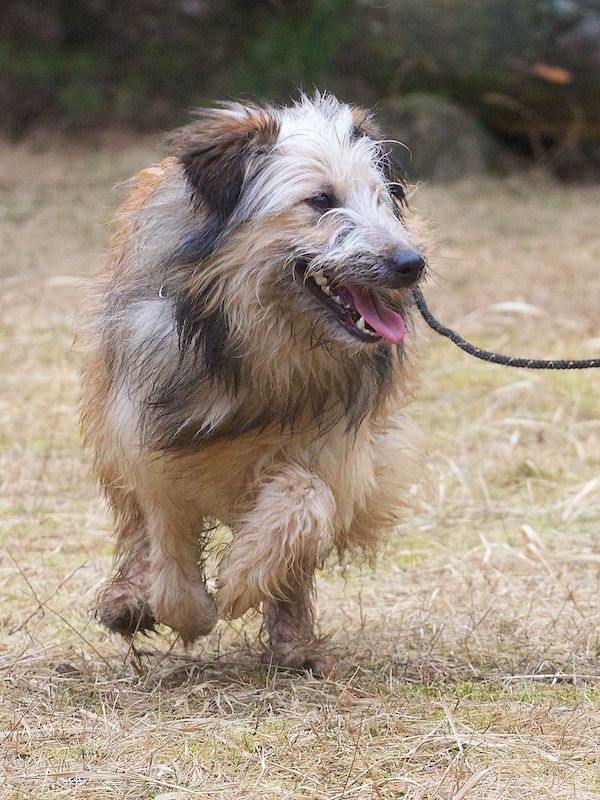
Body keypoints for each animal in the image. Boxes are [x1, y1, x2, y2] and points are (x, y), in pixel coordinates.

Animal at [79, 93, 425, 673]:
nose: (411, 263)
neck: (263, 342)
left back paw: (295, 642)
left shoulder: (332, 448)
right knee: (134, 527)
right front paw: (186, 608)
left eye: (386, 198)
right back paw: (128, 599)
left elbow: (305, 504)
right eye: (321, 200)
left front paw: (243, 578)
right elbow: (164, 527)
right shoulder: (146, 434)